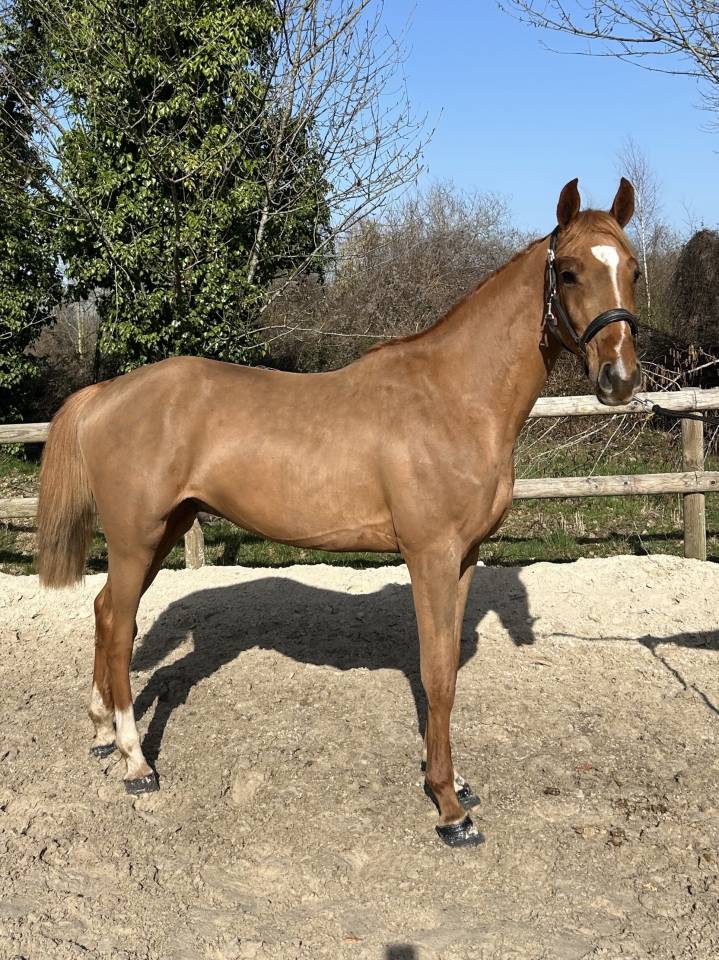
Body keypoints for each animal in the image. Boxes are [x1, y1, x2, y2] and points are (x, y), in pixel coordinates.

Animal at [36, 177, 641, 847]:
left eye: (633, 270)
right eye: (569, 272)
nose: (619, 378)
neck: (453, 398)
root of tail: (105, 394)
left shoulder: (463, 559)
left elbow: (449, 674)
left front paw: (454, 784)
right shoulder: (429, 557)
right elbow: (436, 675)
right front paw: (448, 808)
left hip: (163, 532)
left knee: (105, 612)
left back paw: (101, 733)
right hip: (135, 538)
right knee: (119, 629)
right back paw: (135, 761)